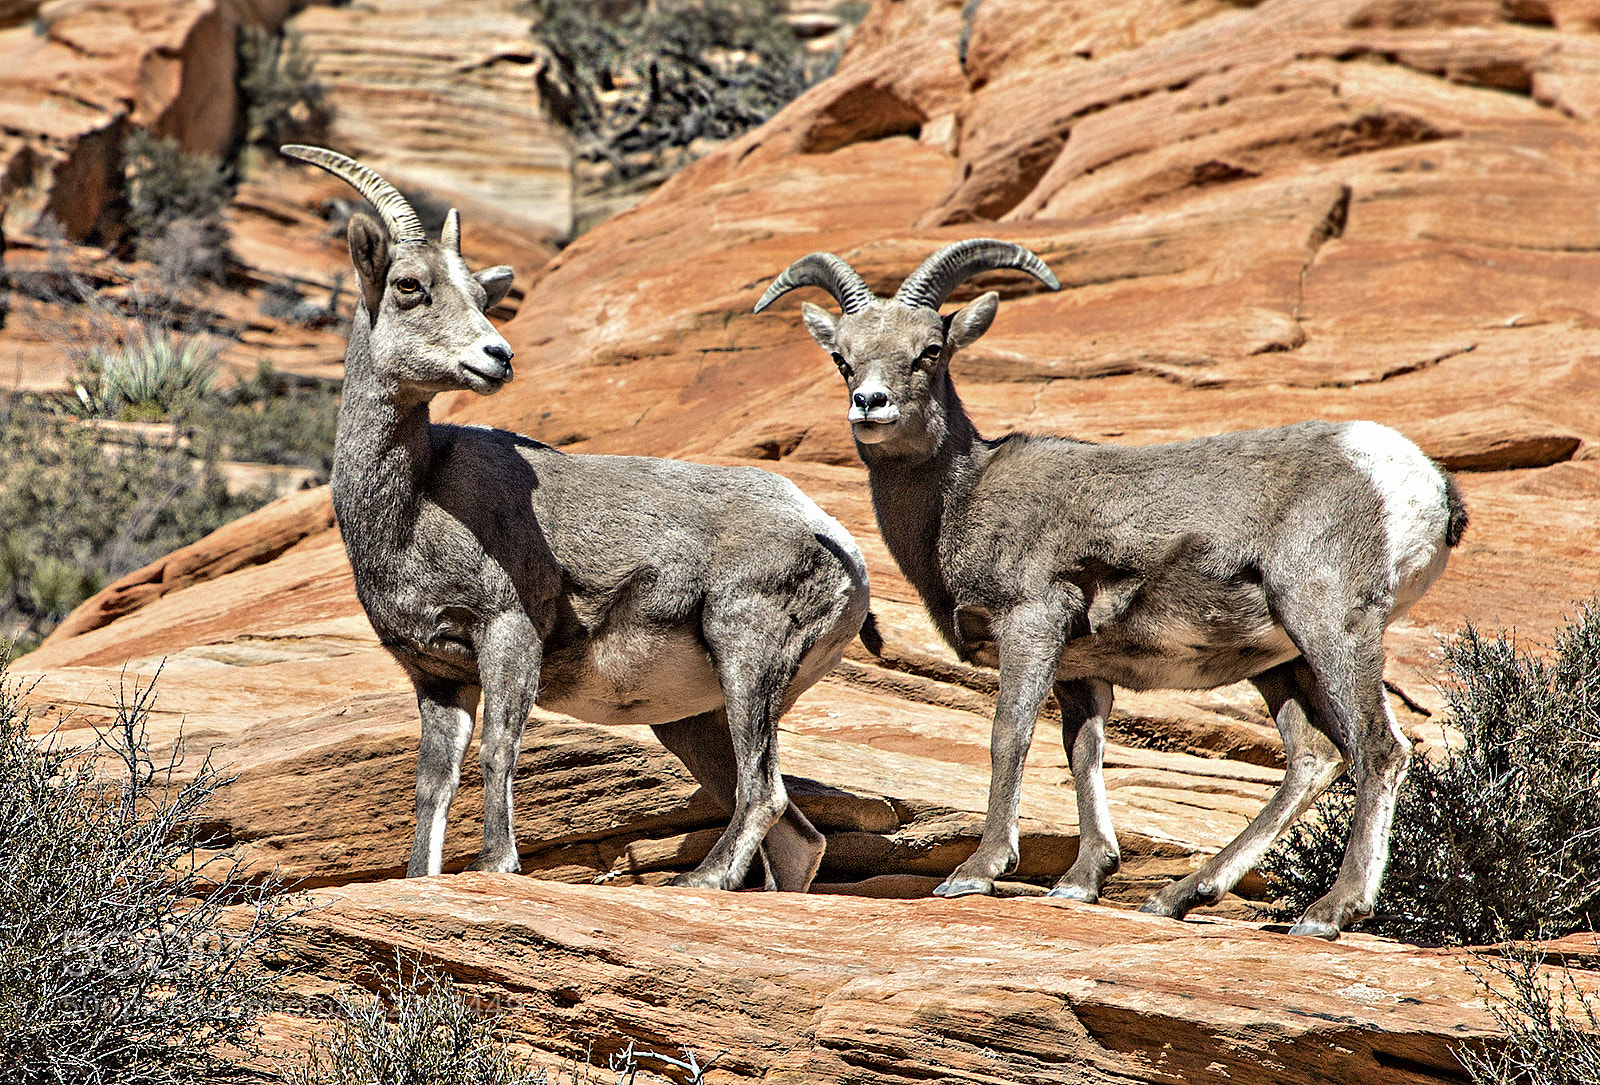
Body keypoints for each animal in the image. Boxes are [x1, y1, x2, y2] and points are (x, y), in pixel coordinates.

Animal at [280, 145, 869, 890]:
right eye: (410, 285)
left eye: (480, 296)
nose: (497, 357)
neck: (415, 507)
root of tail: (836, 541)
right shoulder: (437, 677)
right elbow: (432, 787)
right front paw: (423, 880)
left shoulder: (508, 635)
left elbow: (499, 750)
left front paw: (496, 866)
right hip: (695, 720)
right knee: (795, 836)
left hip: (747, 656)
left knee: (764, 792)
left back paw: (697, 882)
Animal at [754, 238, 1467, 938]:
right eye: (843, 360)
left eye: (931, 349)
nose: (871, 405)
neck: (961, 500)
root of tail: (1423, 484)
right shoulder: (1080, 670)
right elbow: (1084, 754)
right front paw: (1080, 883)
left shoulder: (1032, 624)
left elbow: (1009, 736)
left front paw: (977, 873)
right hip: (1279, 661)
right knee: (1313, 757)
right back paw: (1177, 897)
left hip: (1328, 625)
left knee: (1379, 749)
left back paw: (1326, 915)